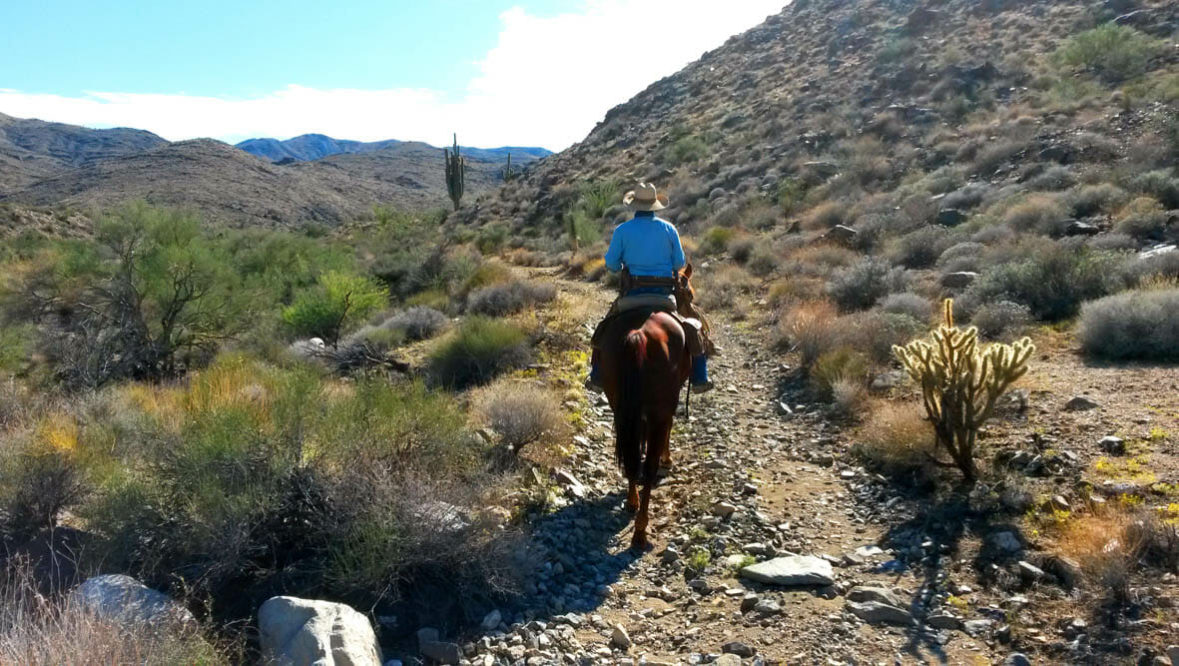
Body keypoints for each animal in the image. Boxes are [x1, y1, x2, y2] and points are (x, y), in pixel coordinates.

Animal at [603, 265, 693, 551]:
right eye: (689, 292)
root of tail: (638, 335)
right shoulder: (666, 407)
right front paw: (668, 458)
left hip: (620, 406)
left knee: (632, 458)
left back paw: (632, 503)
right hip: (659, 409)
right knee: (649, 465)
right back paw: (641, 531)